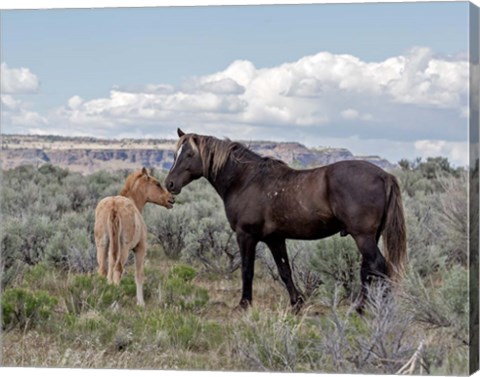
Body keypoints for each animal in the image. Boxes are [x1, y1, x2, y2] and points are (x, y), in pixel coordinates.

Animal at [94, 168, 174, 306]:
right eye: (157, 183)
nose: (171, 199)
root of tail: (114, 206)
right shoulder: (140, 248)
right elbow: (139, 274)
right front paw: (141, 303)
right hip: (124, 247)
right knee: (118, 269)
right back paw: (115, 300)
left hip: (102, 244)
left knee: (102, 269)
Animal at [165, 129, 404, 312]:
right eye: (175, 154)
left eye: (188, 154)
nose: (169, 184)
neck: (246, 180)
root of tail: (384, 175)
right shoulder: (275, 239)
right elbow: (284, 271)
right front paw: (296, 303)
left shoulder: (246, 236)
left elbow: (247, 270)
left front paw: (244, 304)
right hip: (370, 236)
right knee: (369, 269)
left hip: (363, 236)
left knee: (378, 266)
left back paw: (371, 308)